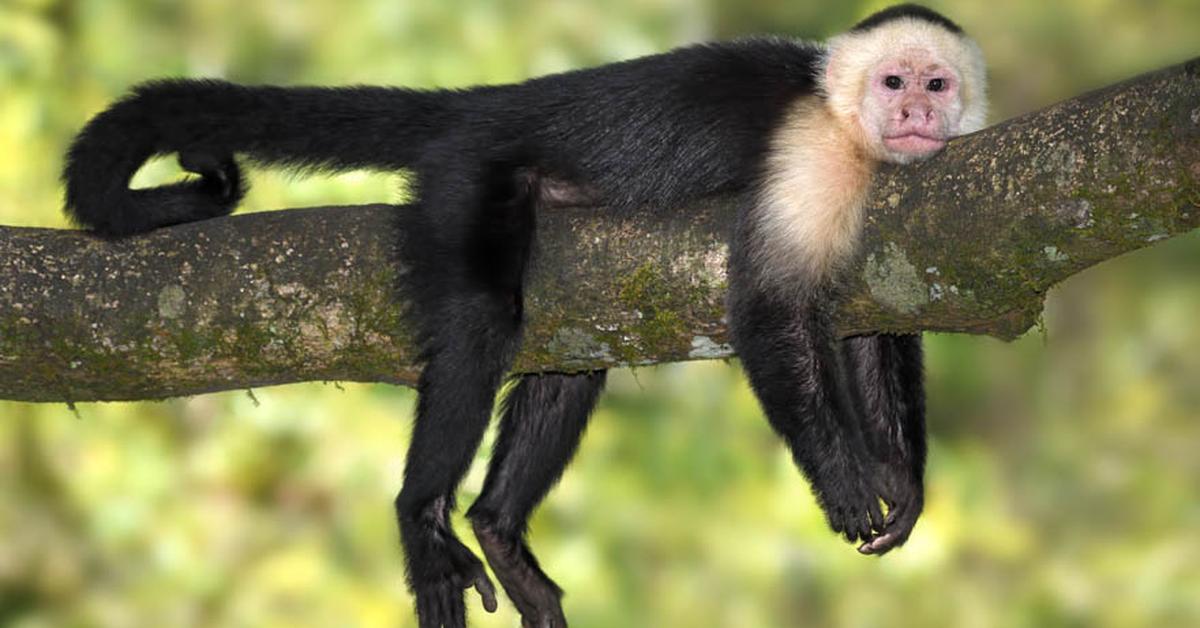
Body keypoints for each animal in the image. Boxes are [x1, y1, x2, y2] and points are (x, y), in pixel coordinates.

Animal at [60, 4, 984, 628]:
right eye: (893, 82)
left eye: (937, 84)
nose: (915, 114)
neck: (849, 130)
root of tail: (493, 105)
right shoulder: (811, 155)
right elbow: (766, 311)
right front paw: (845, 478)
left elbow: (867, 329)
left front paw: (901, 481)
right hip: (466, 176)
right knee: (482, 321)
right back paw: (423, 518)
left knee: (571, 361)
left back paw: (497, 529)